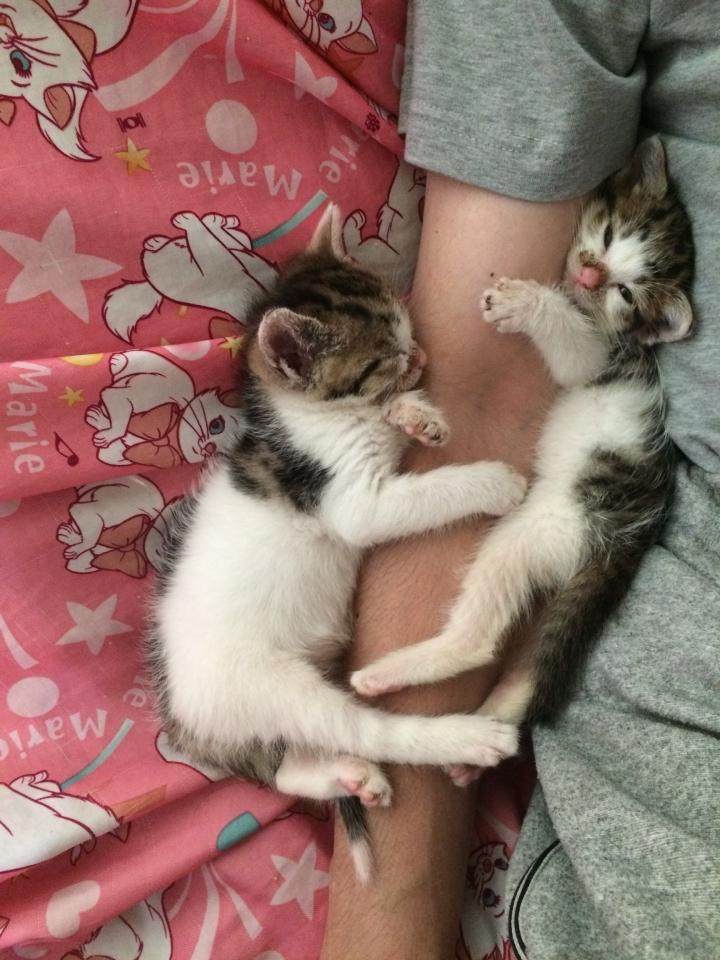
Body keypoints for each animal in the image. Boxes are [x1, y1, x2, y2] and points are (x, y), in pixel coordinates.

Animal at [147, 204, 526, 880]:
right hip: (270, 684)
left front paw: (416, 416)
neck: (313, 415)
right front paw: (495, 481)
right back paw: (466, 738)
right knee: (363, 729)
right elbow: (419, 493)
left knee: (289, 768)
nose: (420, 355)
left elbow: (396, 427)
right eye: (381, 358)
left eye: (406, 329)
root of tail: (187, 723)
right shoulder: (353, 502)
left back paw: (349, 779)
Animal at [351, 136, 695, 783]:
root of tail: (629, 540)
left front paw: (525, 304)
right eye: (608, 235)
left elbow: (572, 349)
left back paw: (396, 673)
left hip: (547, 528)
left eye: (626, 292)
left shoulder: (600, 356)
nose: (587, 272)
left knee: (482, 633)